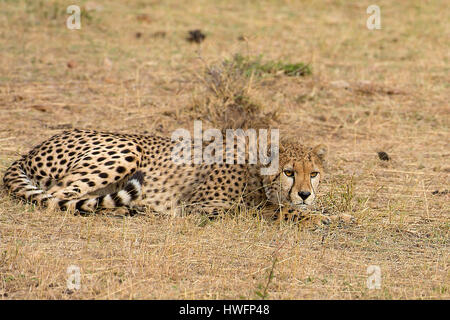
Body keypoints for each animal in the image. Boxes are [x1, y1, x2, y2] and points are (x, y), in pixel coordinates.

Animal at [2, 129, 348, 224]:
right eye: (289, 172)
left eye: (313, 174)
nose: (305, 193)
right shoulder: (205, 208)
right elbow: (271, 211)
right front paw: (315, 218)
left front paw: (335, 214)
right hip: (126, 148)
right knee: (60, 197)